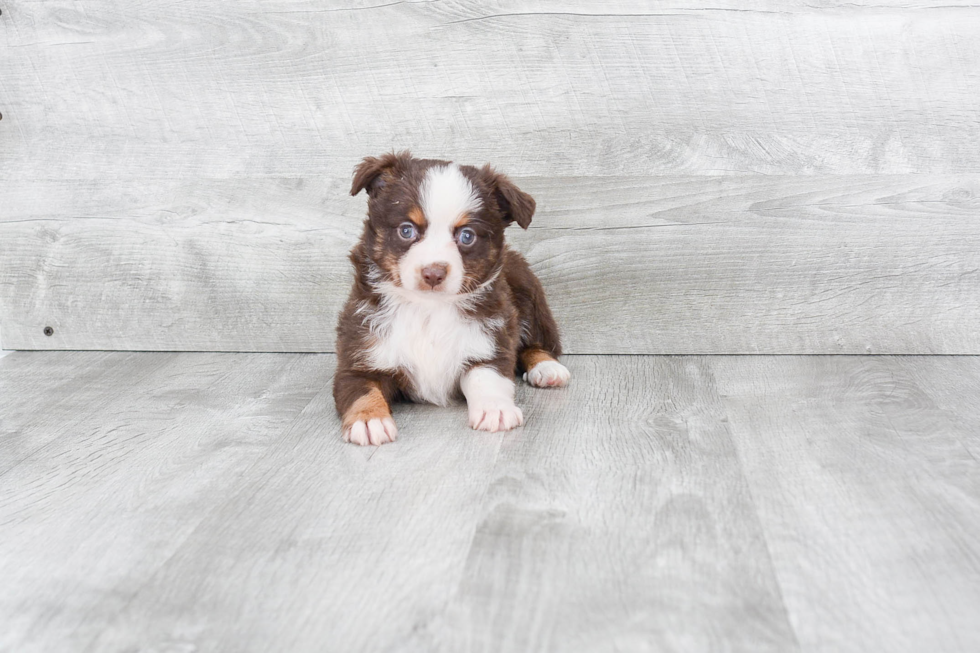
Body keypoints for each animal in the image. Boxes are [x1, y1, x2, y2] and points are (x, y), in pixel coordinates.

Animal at [334, 151, 572, 446]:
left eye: (466, 236)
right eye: (406, 230)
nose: (433, 273)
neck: (427, 310)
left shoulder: (491, 343)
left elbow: (488, 376)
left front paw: (495, 408)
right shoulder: (358, 356)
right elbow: (362, 389)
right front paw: (369, 420)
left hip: (529, 292)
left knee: (536, 343)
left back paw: (547, 368)